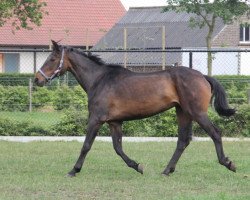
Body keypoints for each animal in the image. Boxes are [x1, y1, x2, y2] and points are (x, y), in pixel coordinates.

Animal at [35, 40, 236, 177]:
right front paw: (137, 166)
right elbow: (118, 148)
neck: (100, 80)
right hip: (183, 113)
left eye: (52, 59)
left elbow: (86, 145)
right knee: (183, 141)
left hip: (197, 113)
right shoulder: (115, 122)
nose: (38, 79)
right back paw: (167, 170)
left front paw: (74, 170)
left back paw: (228, 163)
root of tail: (202, 76)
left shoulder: (96, 119)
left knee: (215, 133)